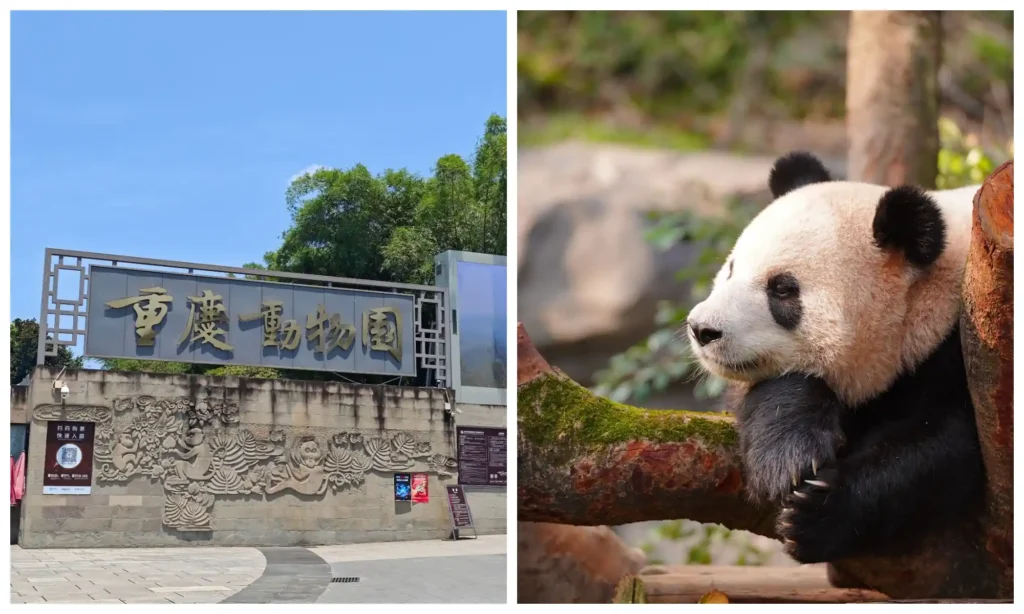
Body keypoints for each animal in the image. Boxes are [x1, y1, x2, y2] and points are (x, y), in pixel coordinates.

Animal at [684, 151, 987, 565]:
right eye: (730, 270)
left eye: (782, 289)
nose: (702, 329)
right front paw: (787, 457)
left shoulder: (966, 350)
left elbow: (948, 446)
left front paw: (816, 514)